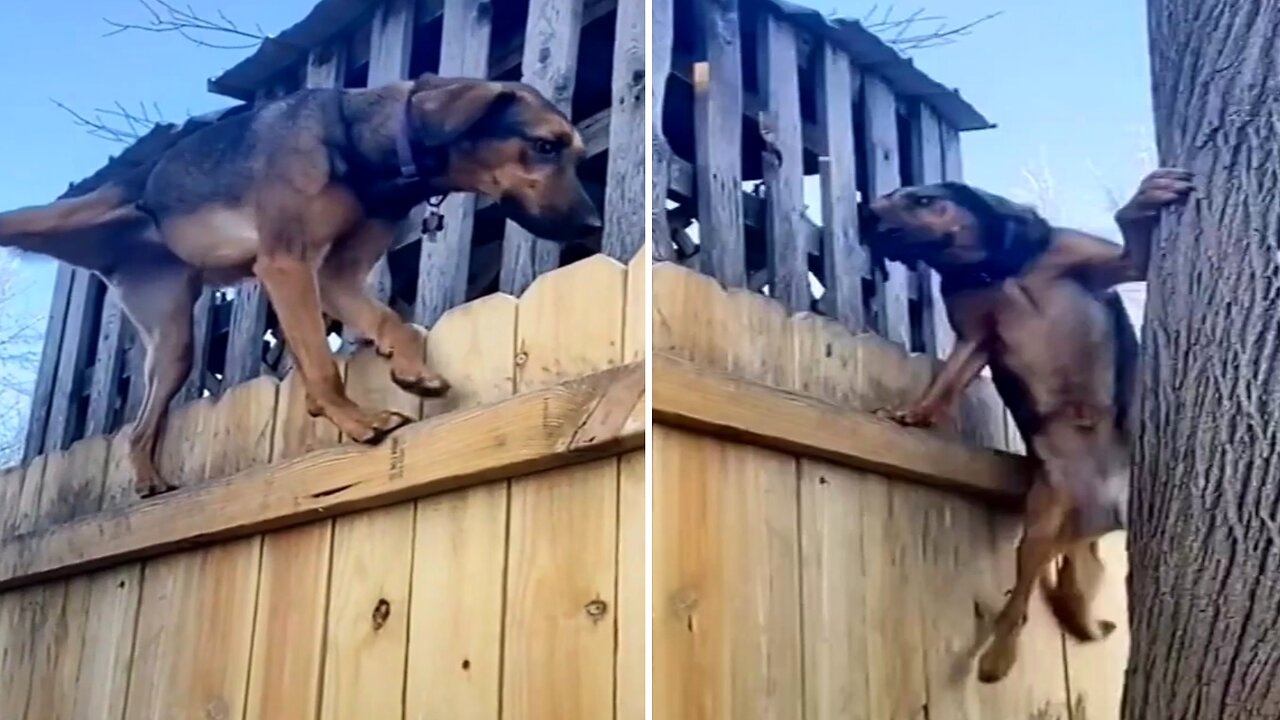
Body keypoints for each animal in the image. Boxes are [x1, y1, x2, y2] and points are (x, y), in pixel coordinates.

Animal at [0, 75, 601, 497]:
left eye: (573, 153)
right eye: (545, 146)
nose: (593, 225)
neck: (371, 146)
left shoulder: (337, 277)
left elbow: (393, 321)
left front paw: (409, 368)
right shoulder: (287, 265)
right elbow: (319, 361)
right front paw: (357, 421)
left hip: (173, 341)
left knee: (140, 427)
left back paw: (149, 480)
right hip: (67, 221)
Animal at [865, 166, 1192, 676]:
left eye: (922, 200)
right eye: (882, 202)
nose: (867, 216)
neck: (990, 269)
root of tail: (1101, 510)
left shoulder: (1114, 266)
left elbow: (1128, 238)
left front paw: (1143, 201)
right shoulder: (976, 337)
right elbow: (945, 384)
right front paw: (914, 414)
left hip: (1073, 535)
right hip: (1042, 525)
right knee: (1019, 602)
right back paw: (998, 658)